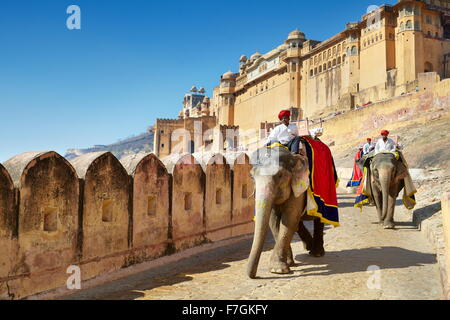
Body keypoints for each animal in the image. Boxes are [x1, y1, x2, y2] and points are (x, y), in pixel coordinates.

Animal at [246, 146, 324, 278]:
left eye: (280, 175)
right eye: (252, 177)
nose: (254, 276)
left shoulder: (298, 188)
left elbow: (288, 220)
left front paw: (277, 270)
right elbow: (274, 222)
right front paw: (288, 264)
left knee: (319, 218)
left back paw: (317, 253)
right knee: (298, 223)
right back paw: (308, 247)